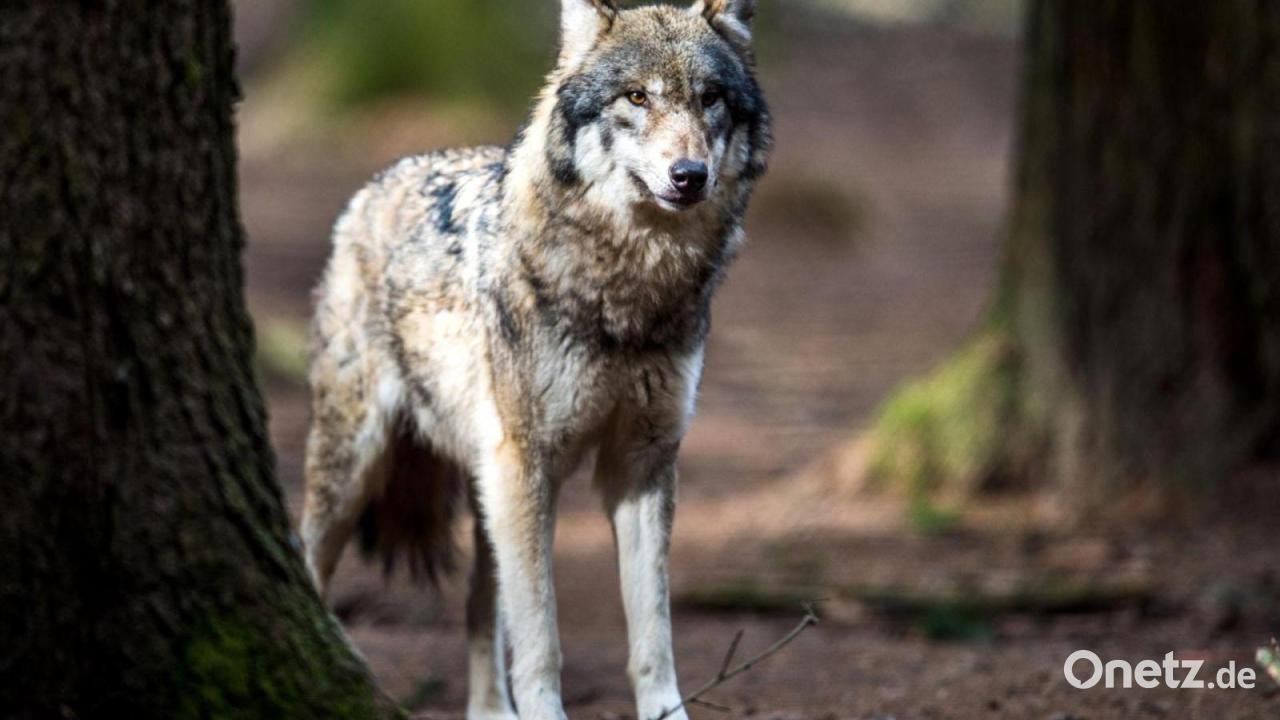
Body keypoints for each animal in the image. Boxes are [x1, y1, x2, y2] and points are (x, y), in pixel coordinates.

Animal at [299, 1, 771, 718]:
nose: (690, 175)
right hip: (361, 466)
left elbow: (653, 636)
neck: (628, 293)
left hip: (488, 488)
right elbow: (541, 636)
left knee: (477, 608)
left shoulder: (642, 464)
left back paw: (491, 711)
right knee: (309, 563)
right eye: (637, 97)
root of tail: (376, 184)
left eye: (709, 98)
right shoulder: (529, 464)